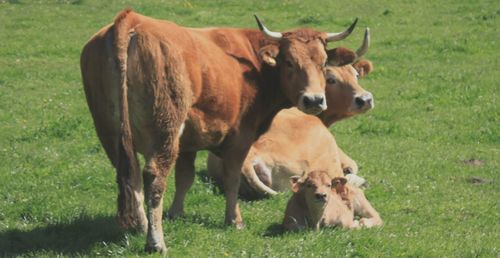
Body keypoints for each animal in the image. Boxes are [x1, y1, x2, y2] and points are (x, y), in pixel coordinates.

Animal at [80, 8, 358, 252]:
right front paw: (234, 220)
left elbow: (185, 178)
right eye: (289, 62)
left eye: (324, 63)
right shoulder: (240, 139)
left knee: (130, 176)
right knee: (154, 177)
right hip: (165, 131)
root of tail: (132, 19)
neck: (252, 66)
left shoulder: (187, 143)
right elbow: (232, 179)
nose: (314, 100)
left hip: (110, 132)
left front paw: (176, 213)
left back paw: (140, 226)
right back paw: (155, 241)